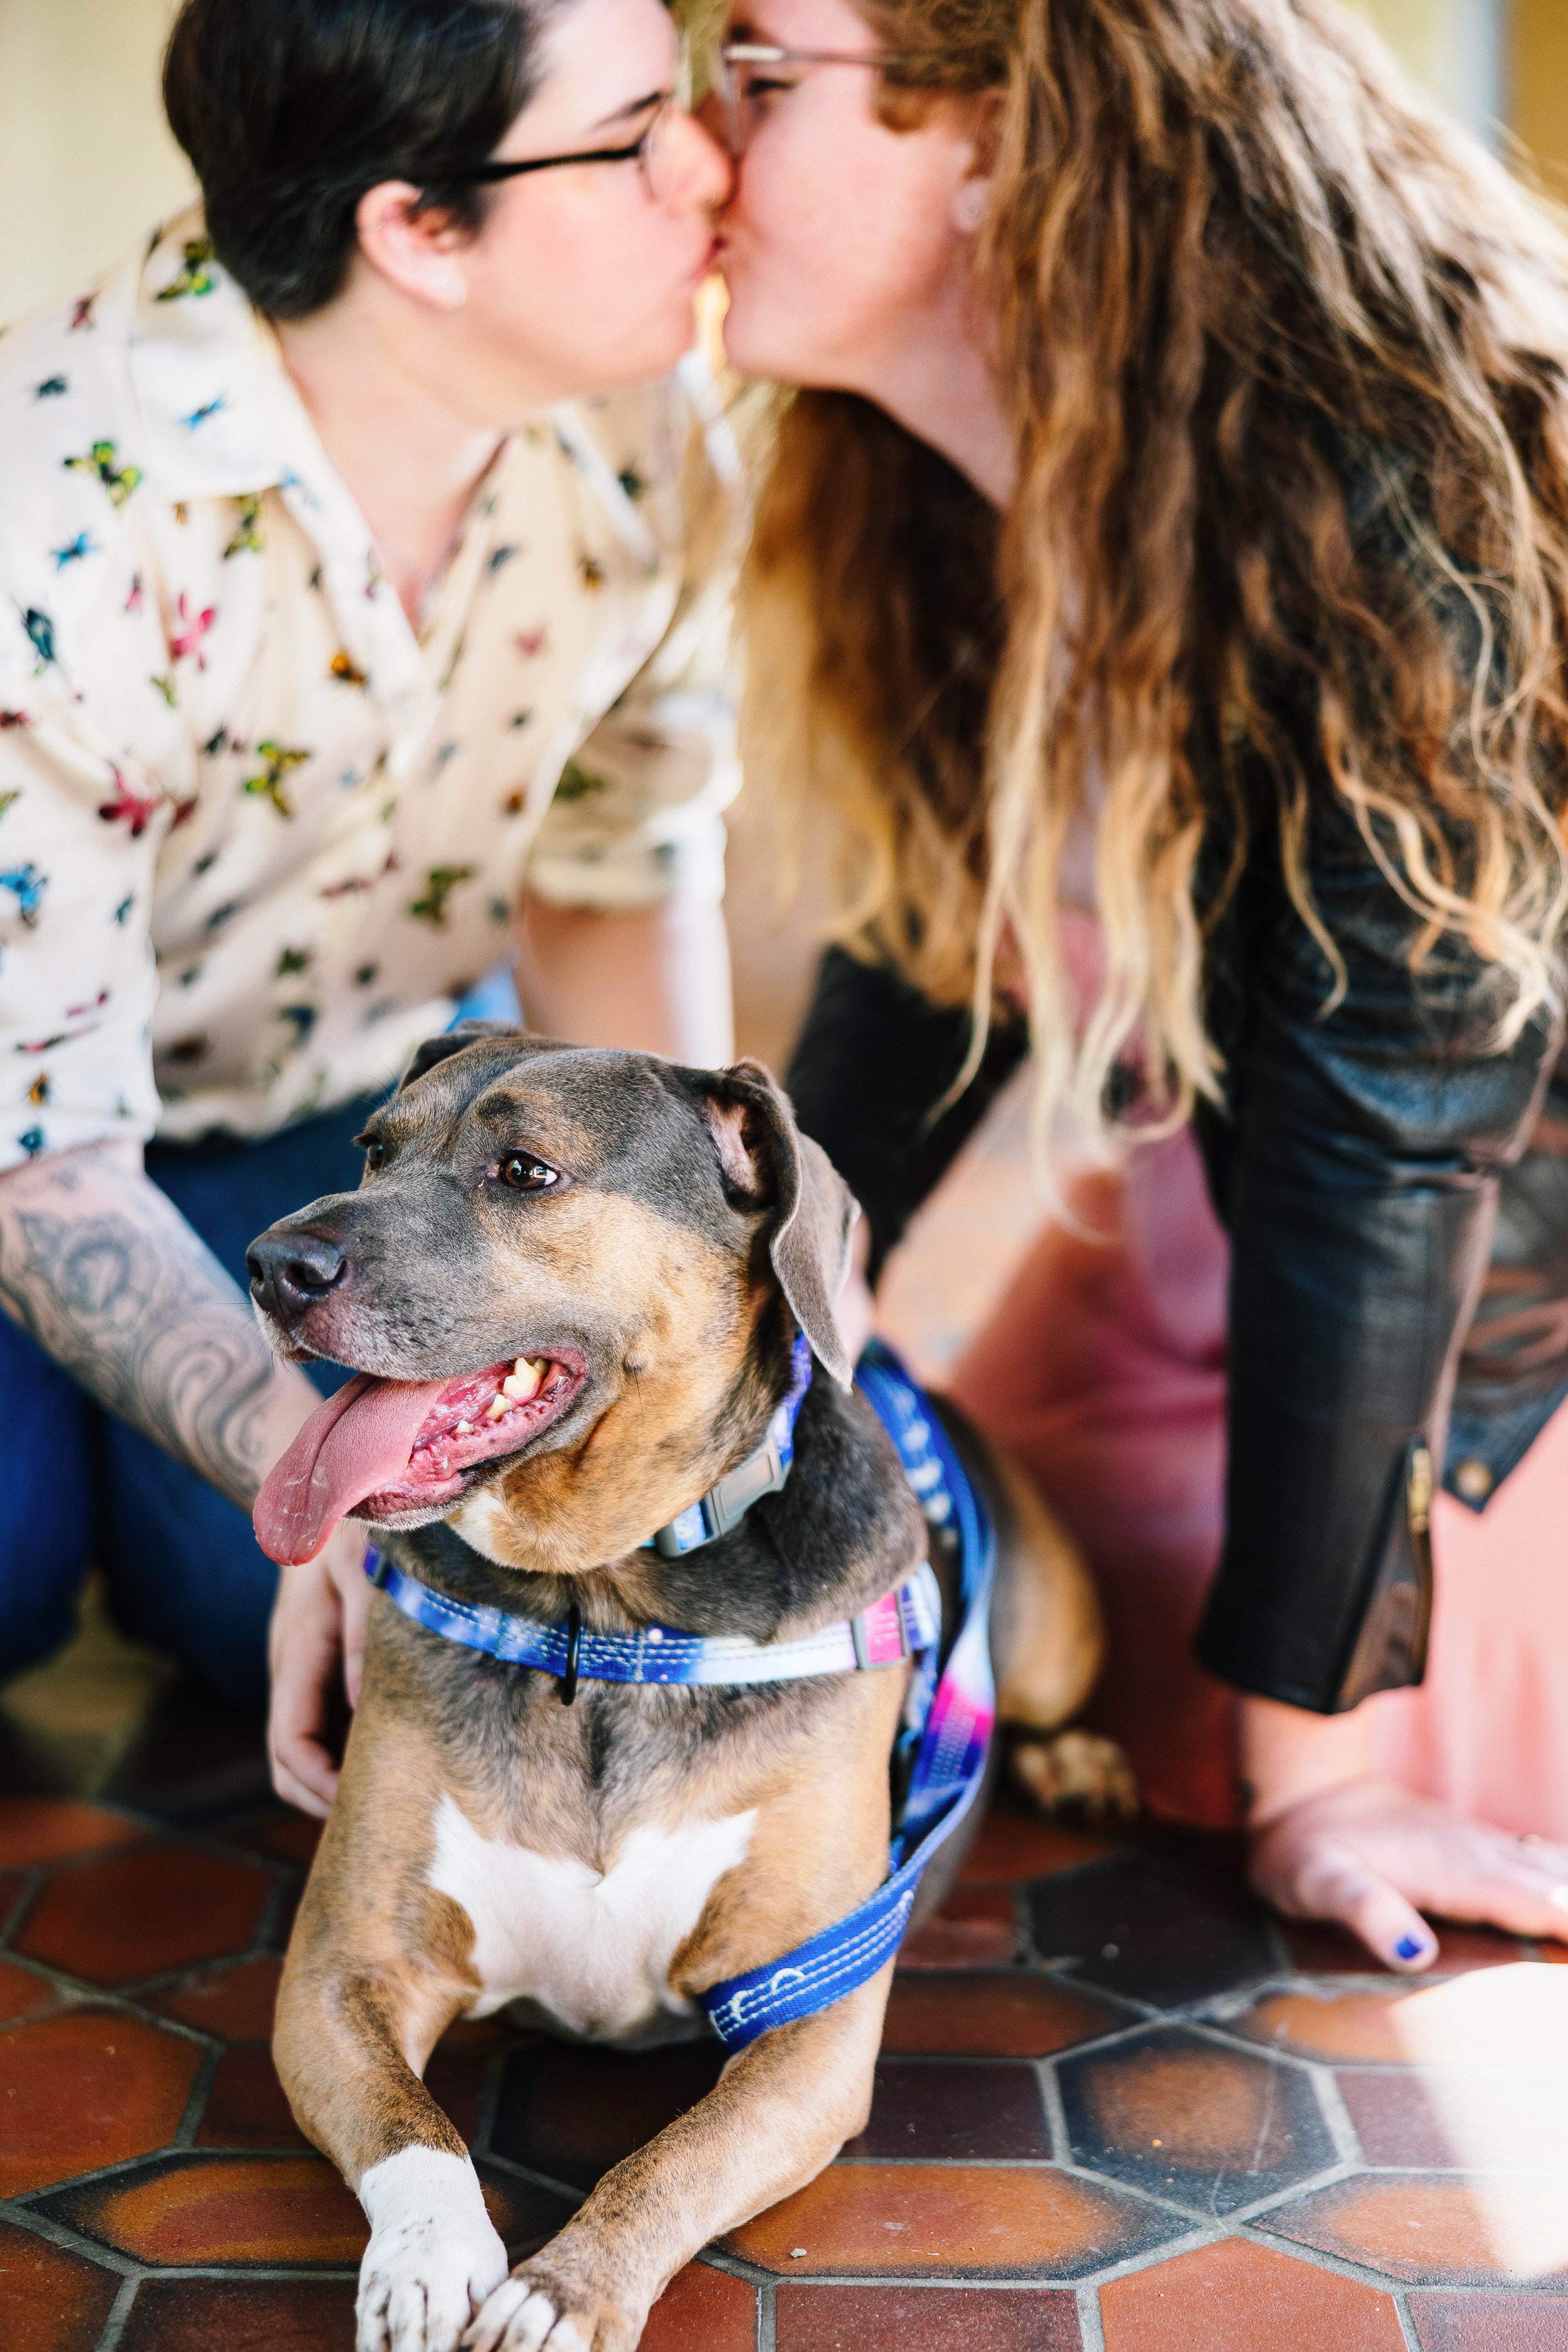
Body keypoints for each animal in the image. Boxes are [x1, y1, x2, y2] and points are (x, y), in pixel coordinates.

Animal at [245, 1030, 1123, 2352]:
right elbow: (414, 2132)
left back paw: (1081, 1762)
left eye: (524, 1169)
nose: (270, 1265)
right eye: (374, 1148)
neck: (603, 1611)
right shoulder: (345, 1971)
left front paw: (562, 2292)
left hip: (1053, 1634)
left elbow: (673, 2161)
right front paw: (428, 2255)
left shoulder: (809, 2018)